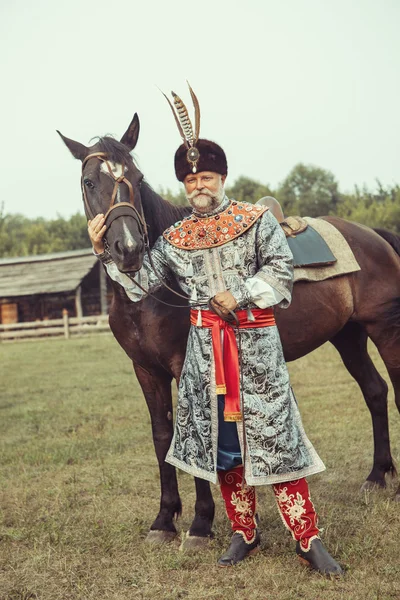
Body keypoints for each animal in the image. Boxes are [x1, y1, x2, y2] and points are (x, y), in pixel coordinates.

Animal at [58, 113, 400, 548]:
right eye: (89, 182)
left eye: (136, 176)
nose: (129, 249)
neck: (150, 292)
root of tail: (373, 235)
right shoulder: (145, 370)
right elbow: (161, 435)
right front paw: (164, 520)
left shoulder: (184, 364)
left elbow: (195, 431)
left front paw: (200, 523)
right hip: (348, 335)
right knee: (374, 391)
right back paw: (376, 476)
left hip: (385, 329)